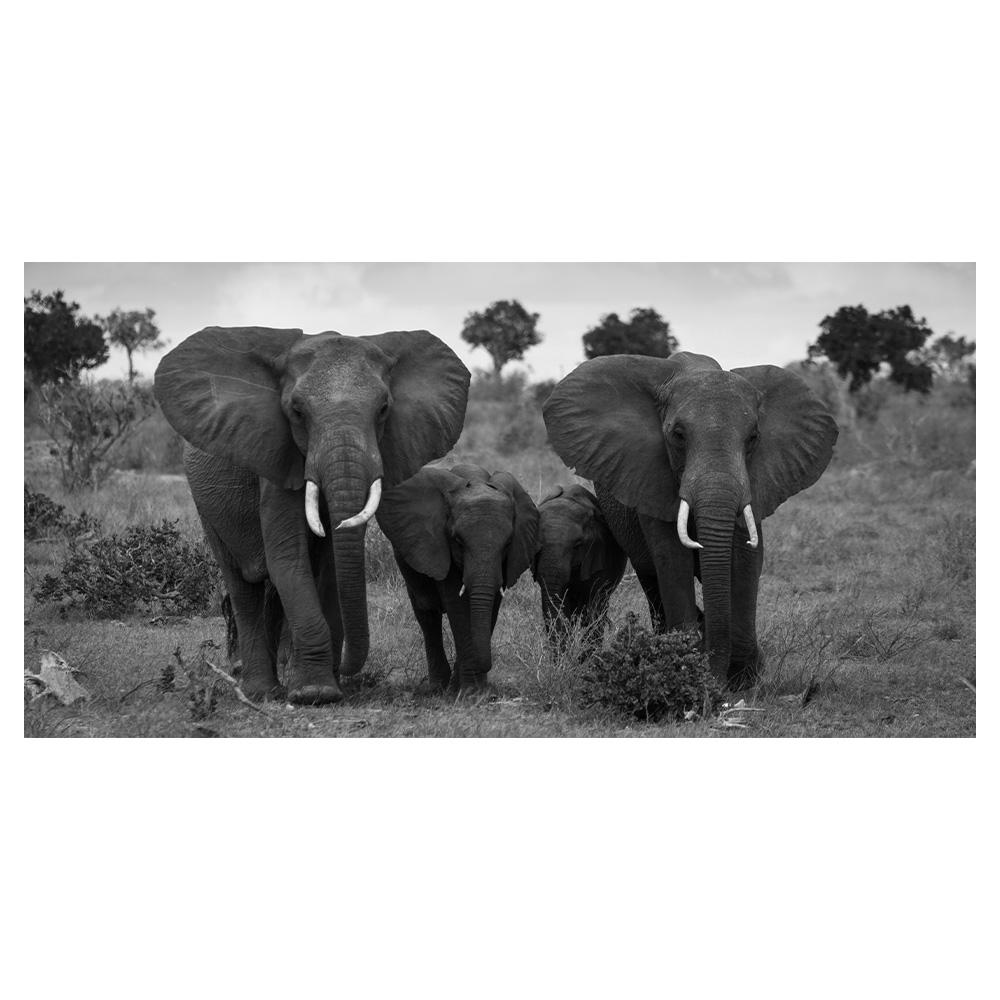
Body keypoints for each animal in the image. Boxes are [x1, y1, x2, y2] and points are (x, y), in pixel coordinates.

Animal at [154, 326, 470, 705]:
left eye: (383, 409)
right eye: (297, 411)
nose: (345, 666)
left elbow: (330, 565)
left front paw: (324, 686)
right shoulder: (277, 456)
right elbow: (288, 558)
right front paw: (315, 693)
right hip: (205, 503)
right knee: (242, 583)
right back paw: (261, 691)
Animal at [376, 463, 540, 693]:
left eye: (508, 543)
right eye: (458, 541)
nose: (487, 666)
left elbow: (491, 607)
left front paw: (475, 690)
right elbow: (458, 608)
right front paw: (470, 692)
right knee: (426, 614)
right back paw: (438, 687)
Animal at [543, 351, 838, 687]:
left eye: (753, 437)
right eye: (678, 435)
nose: (718, 681)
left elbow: (746, 559)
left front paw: (745, 677)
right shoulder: (650, 478)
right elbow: (672, 557)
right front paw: (687, 665)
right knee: (651, 579)